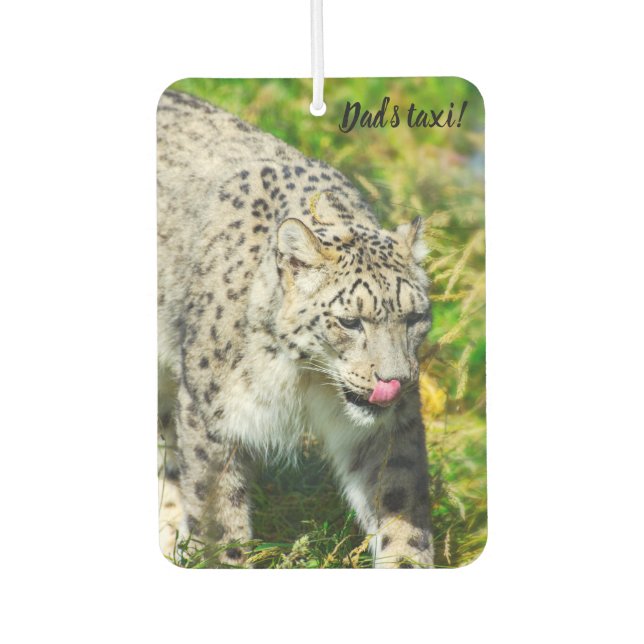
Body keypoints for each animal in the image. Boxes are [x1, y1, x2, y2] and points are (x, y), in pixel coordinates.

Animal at [157, 89, 434, 568]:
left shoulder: (387, 430)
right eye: (350, 321)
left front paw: (405, 560)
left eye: (415, 317)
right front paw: (222, 555)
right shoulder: (212, 419)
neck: (306, 381)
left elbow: (399, 503)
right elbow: (218, 517)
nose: (396, 381)